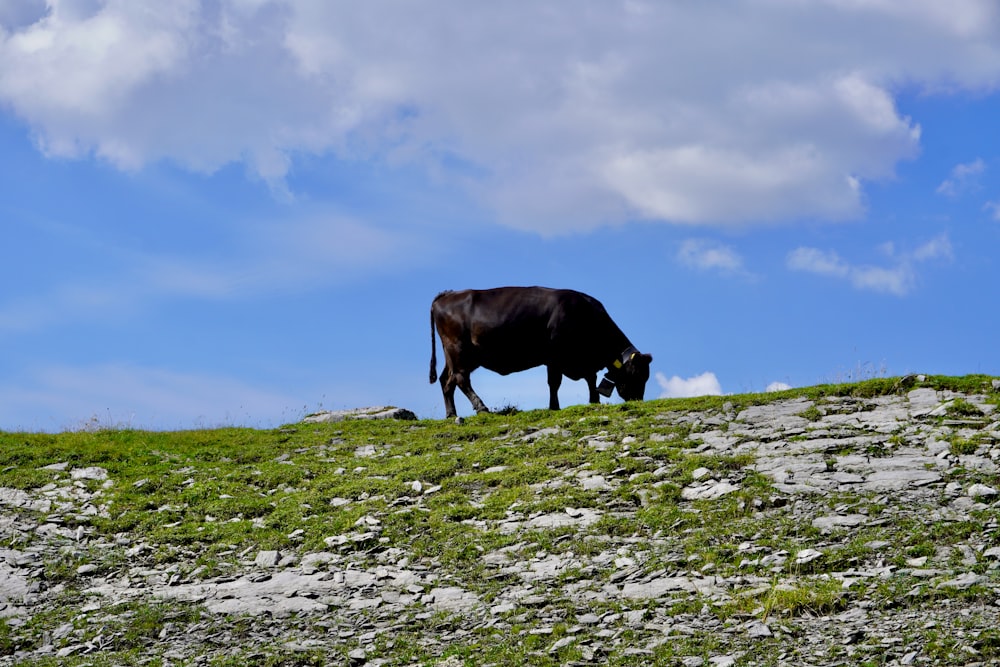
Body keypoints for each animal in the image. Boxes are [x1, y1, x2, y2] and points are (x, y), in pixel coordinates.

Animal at [428, 286, 648, 418]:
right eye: (636, 374)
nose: (638, 400)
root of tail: (447, 295)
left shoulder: (581, 361)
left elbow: (590, 379)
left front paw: (594, 400)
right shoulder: (556, 356)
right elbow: (555, 383)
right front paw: (555, 406)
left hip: (458, 356)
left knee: (447, 381)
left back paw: (452, 414)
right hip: (459, 350)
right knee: (460, 379)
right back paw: (481, 407)